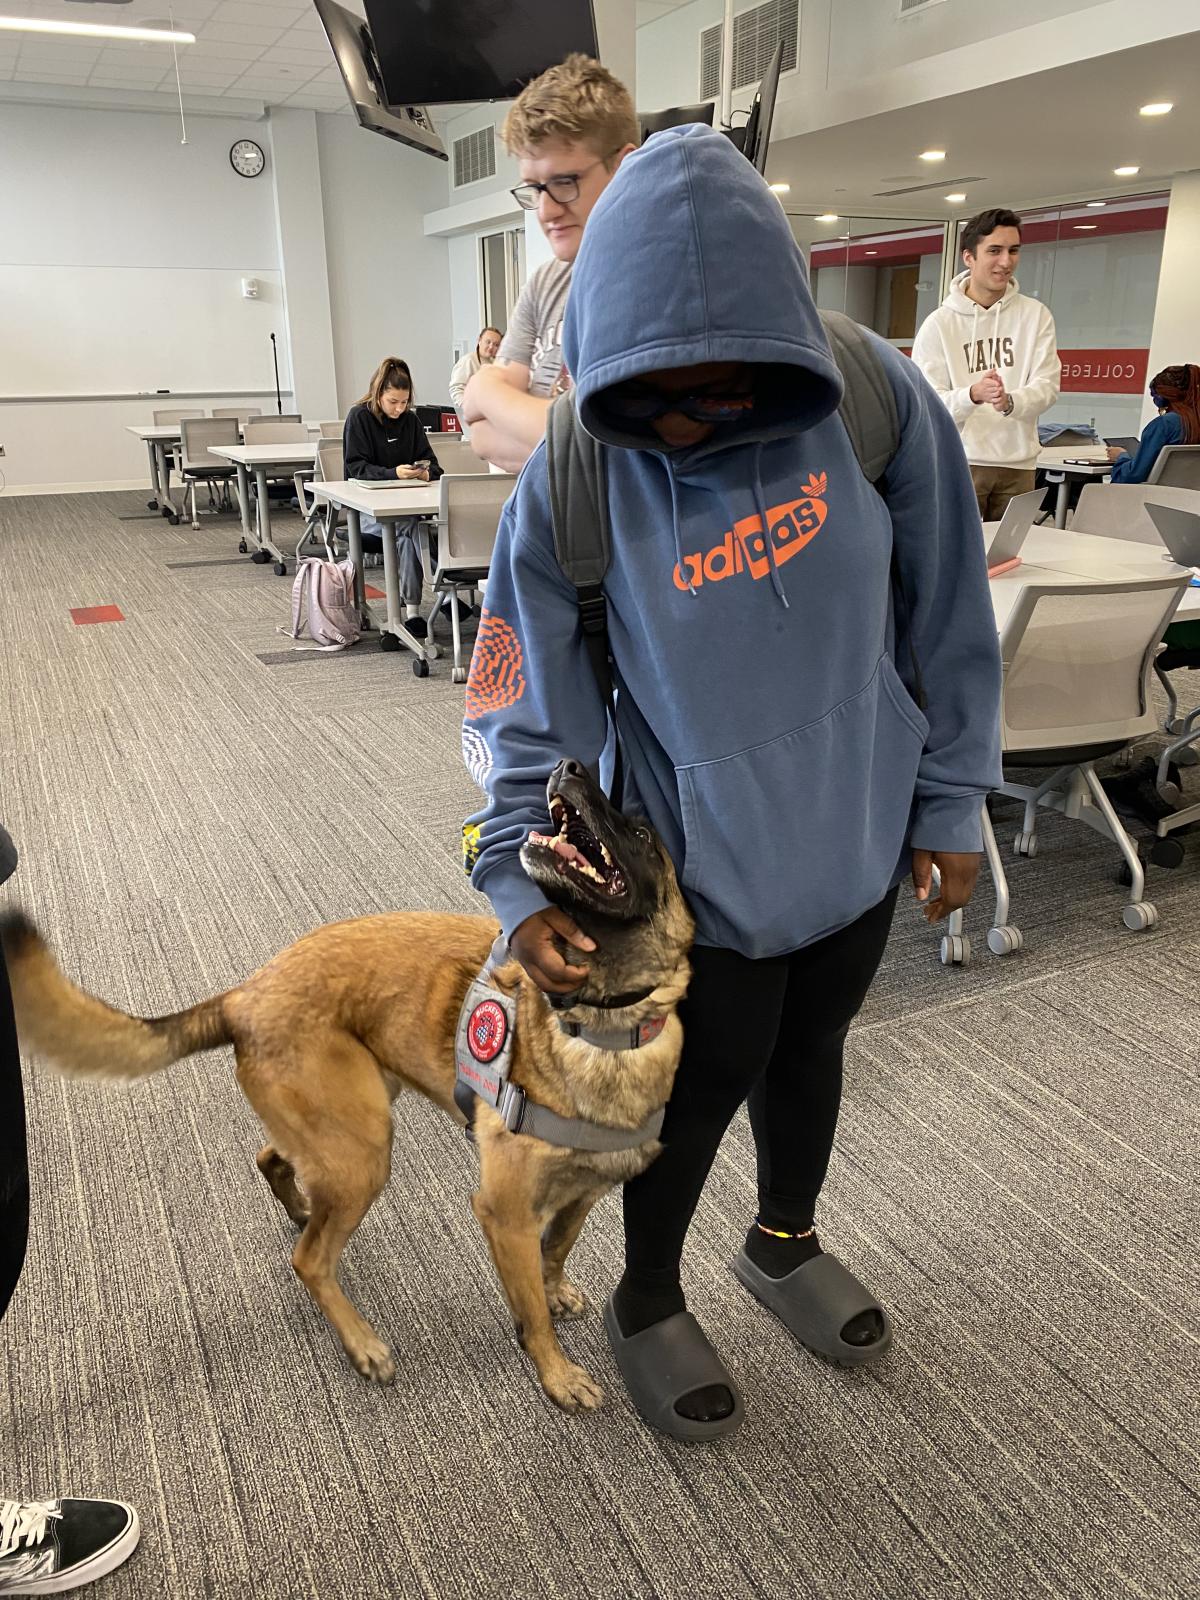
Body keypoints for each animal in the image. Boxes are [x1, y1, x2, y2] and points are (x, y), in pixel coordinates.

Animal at [2, 761, 694, 1414]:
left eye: (640, 834)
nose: (570, 766)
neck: (603, 1027)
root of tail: (244, 994)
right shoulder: (506, 1215)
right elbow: (533, 1314)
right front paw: (556, 1372)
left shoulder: (585, 1193)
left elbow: (558, 1251)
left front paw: (556, 1290)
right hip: (364, 1149)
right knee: (309, 1260)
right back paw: (360, 1340)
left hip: (351, 1119)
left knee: (274, 1160)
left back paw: (303, 1210)